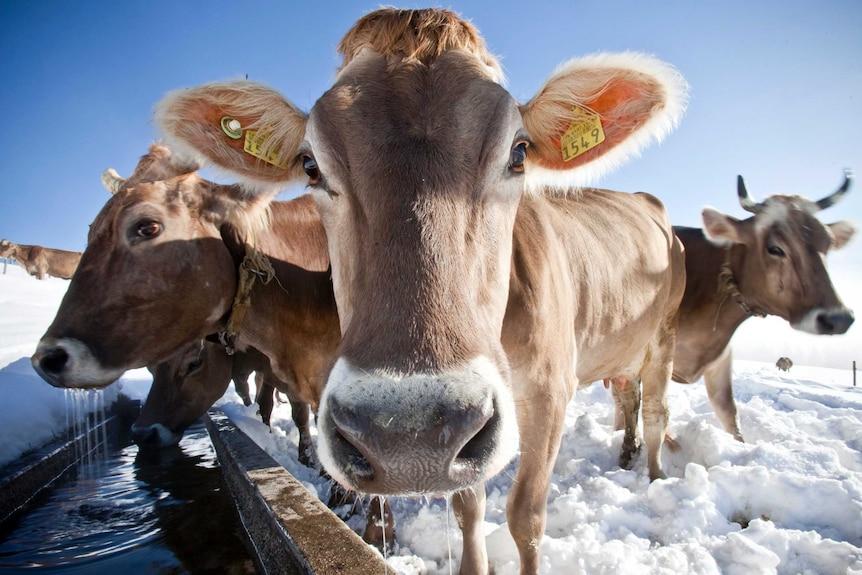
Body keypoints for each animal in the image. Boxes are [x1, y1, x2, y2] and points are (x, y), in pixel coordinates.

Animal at [132, 340, 314, 466]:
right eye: (150, 368)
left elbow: (300, 414)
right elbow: (262, 403)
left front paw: (308, 461)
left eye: (194, 364)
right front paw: (263, 428)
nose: (142, 435)